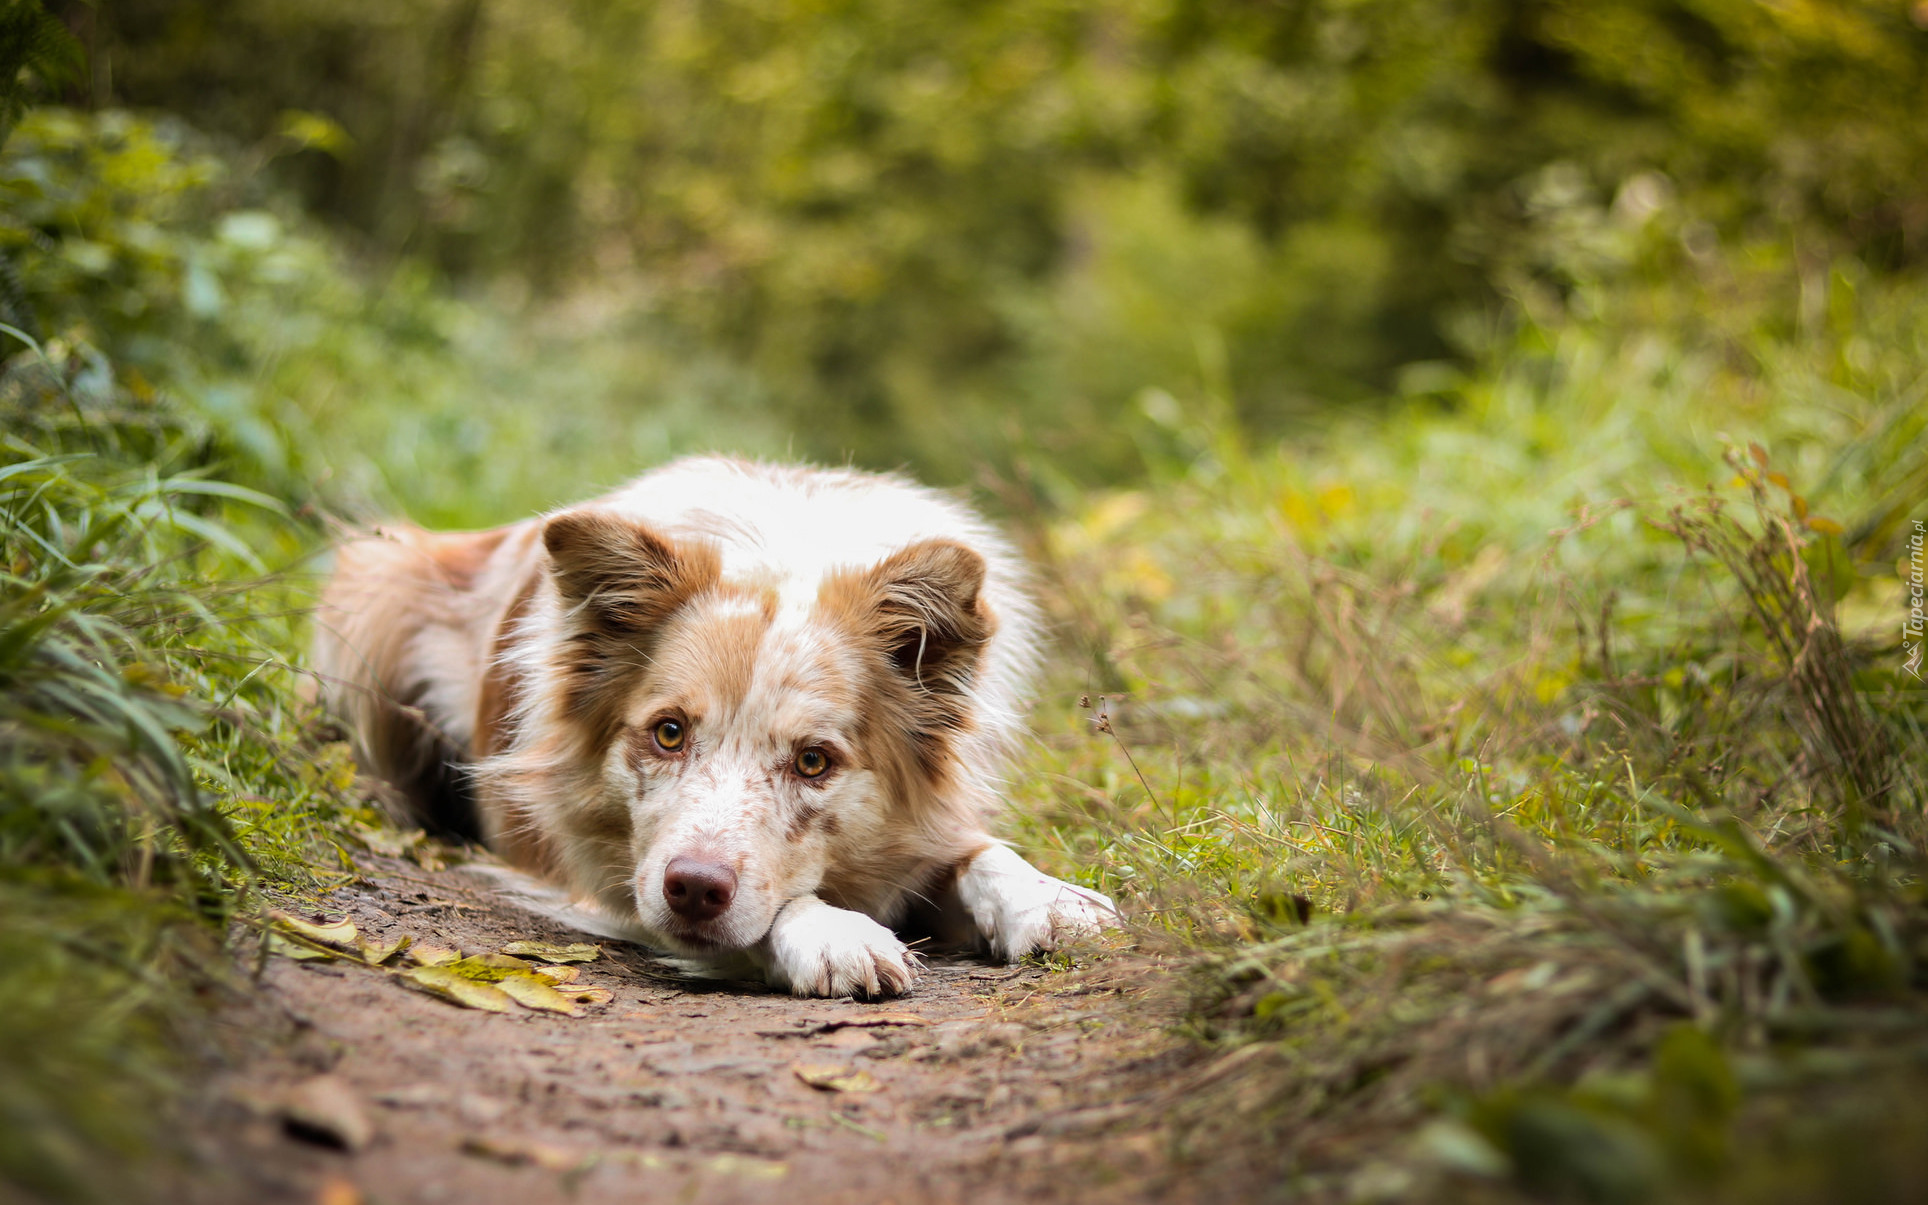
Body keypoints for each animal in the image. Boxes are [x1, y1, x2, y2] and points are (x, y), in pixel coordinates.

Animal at [314, 455, 1125, 994]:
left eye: (813, 761)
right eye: (668, 732)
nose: (694, 890)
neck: (785, 556)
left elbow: (978, 851)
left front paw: (1050, 899)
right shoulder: (608, 876)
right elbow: (775, 908)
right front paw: (833, 930)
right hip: (372, 587)